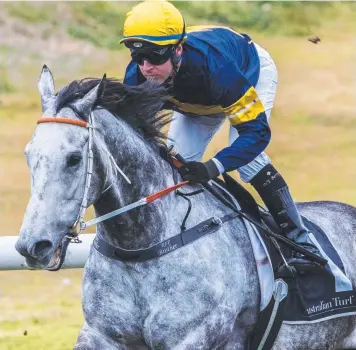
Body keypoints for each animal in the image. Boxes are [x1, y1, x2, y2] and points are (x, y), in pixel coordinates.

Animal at [15, 66, 356, 350]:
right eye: (29, 154)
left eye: (73, 158)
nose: (32, 246)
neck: (141, 247)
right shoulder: (101, 335)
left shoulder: (194, 338)